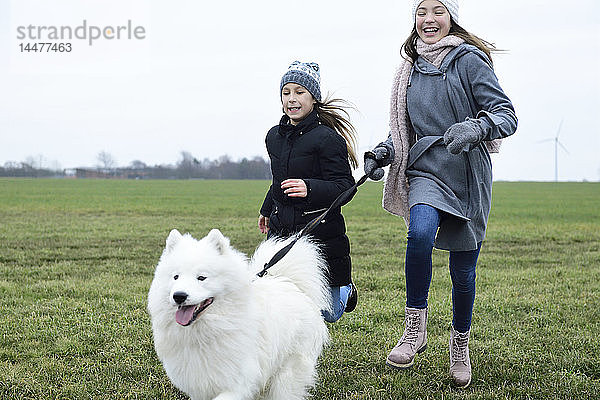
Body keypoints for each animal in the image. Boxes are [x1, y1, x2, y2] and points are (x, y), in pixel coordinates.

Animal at [147, 228, 330, 400]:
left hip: (287, 372)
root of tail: (291, 284)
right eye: (175, 277)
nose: (179, 296)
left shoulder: (239, 383)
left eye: (201, 277)